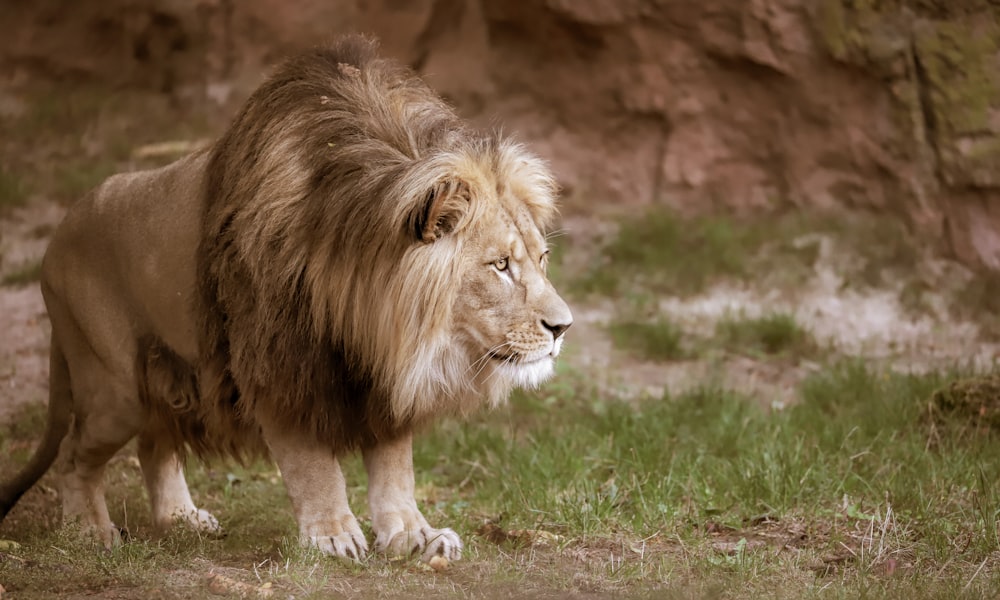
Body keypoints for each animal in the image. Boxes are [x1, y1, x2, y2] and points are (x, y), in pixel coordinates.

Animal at [0, 36, 572, 564]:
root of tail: (58, 235)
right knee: (74, 453)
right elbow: (312, 464)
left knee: (154, 442)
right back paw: (89, 531)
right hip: (114, 388)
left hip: (168, 377)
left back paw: (180, 519)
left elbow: (395, 468)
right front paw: (333, 535)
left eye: (542, 259)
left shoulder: (382, 379)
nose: (563, 327)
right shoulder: (278, 365)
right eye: (500, 266)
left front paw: (414, 535)